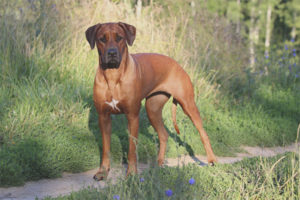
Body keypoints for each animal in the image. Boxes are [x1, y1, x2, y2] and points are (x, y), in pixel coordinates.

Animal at [85, 22, 217, 181]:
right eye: (102, 39)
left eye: (119, 38)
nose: (112, 53)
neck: (112, 76)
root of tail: (176, 63)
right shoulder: (103, 117)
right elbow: (106, 149)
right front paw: (103, 171)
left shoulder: (132, 116)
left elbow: (132, 149)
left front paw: (131, 174)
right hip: (152, 109)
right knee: (164, 135)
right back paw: (159, 163)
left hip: (188, 104)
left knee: (203, 133)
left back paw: (211, 159)